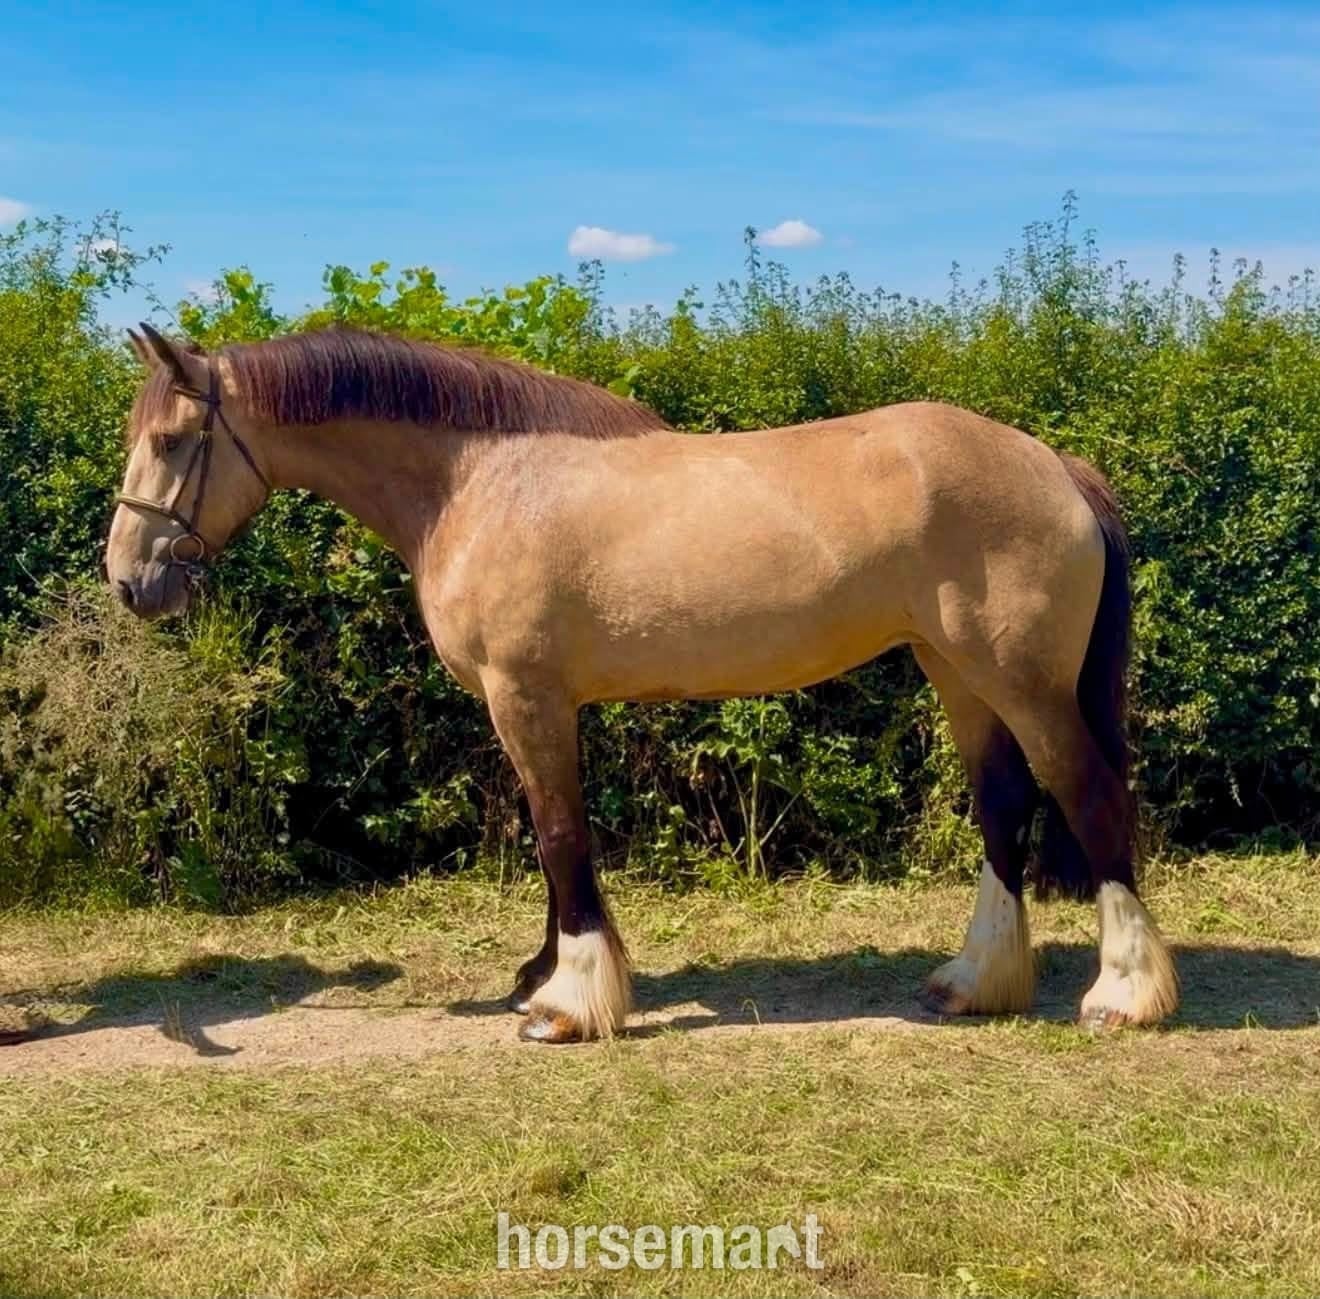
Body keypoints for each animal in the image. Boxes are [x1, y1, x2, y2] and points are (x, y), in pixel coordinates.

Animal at [105, 323, 1178, 1043]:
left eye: (169, 442)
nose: (128, 579)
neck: (477, 481)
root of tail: (1054, 465)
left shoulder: (528, 697)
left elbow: (560, 837)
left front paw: (567, 1003)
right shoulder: (531, 707)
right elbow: (552, 843)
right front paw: (542, 974)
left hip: (1022, 681)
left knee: (1089, 794)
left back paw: (1124, 994)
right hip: (957, 672)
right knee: (1004, 804)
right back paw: (972, 981)